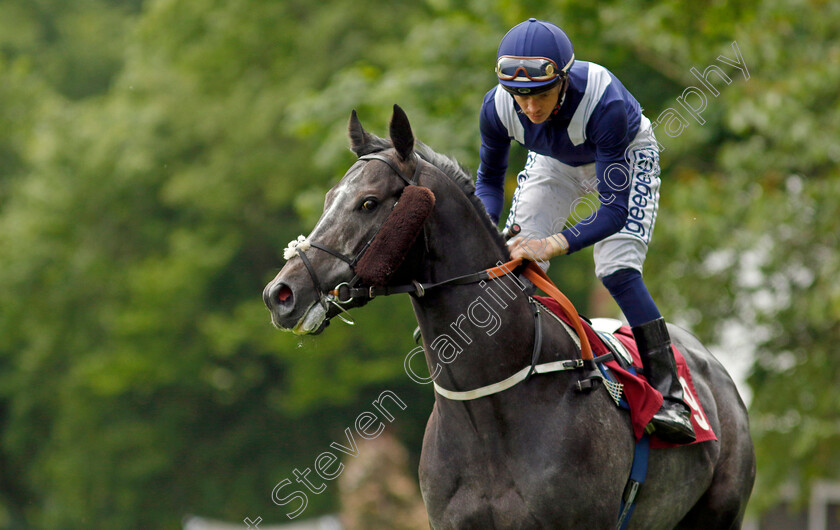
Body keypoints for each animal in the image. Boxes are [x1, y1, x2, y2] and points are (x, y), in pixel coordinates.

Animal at [262, 105, 756, 524]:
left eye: (368, 202)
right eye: (329, 198)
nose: (280, 294)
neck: (488, 404)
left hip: (720, 512)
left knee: (620, 267)